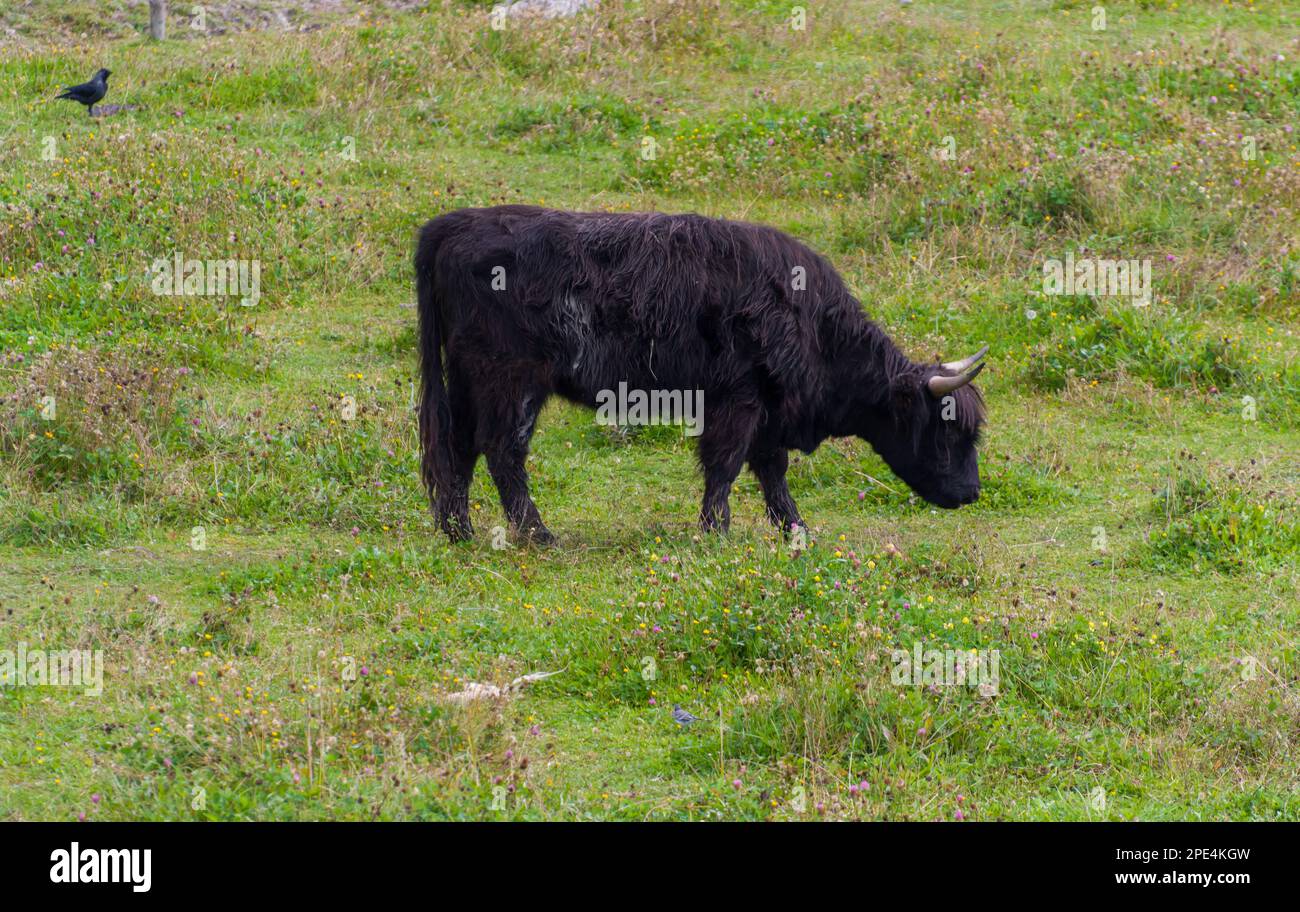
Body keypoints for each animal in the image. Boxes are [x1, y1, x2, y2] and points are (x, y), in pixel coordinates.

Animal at [416, 207, 982, 543]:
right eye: (946, 427)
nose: (972, 494)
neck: (811, 320)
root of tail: (456, 223)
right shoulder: (739, 403)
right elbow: (726, 468)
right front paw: (717, 531)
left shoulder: (766, 415)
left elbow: (770, 473)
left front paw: (796, 531)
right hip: (511, 384)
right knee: (502, 453)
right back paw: (539, 536)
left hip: (465, 382)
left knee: (459, 449)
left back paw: (458, 531)